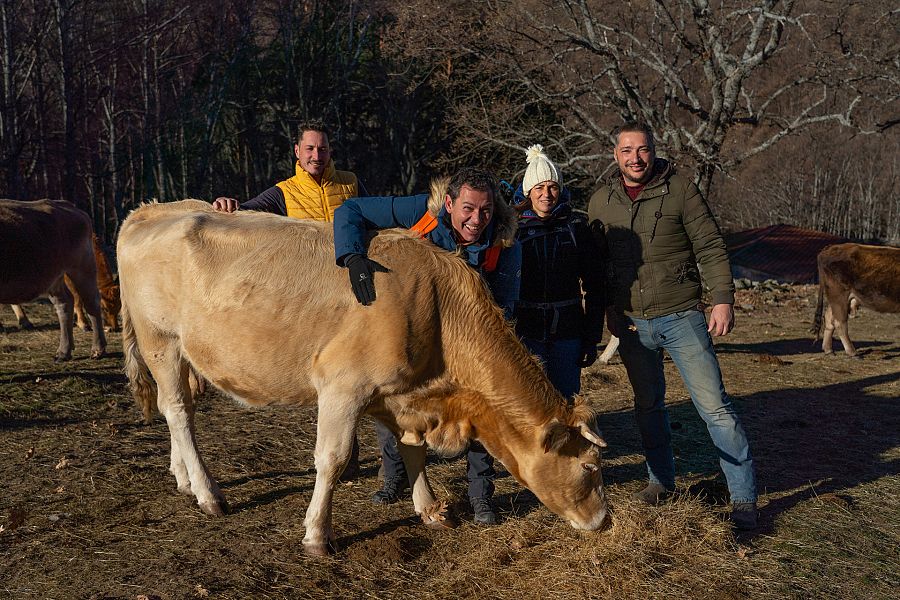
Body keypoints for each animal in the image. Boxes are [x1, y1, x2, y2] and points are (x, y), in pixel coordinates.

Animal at [1, 198, 107, 360]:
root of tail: (66, 205)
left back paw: (97, 349)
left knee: (92, 302)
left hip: (82, 268)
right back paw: (64, 351)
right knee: (64, 303)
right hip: (54, 277)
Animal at [119, 199, 608, 556]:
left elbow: (412, 451)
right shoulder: (343, 387)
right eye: (589, 466)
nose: (602, 521)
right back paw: (208, 494)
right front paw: (317, 534)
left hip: (181, 353)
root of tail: (152, 209)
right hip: (160, 341)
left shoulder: (400, 394)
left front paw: (429, 509)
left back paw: (183, 477)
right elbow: (331, 460)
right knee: (177, 410)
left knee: (178, 410)